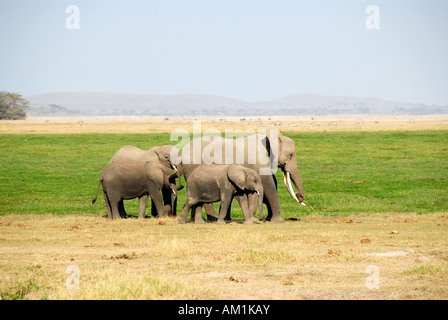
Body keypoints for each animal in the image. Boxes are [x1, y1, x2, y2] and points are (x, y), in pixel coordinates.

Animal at [177, 128, 306, 222]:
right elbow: (269, 185)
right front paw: (278, 221)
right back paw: (212, 219)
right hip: (193, 166)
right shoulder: (258, 161)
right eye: (291, 155)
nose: (299, 196)